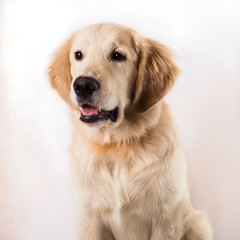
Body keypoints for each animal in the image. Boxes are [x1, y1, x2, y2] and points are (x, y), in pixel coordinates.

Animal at [47, 23, 212, 240]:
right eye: (78, 55)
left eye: (118, 55)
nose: (82, 85)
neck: (117, 145)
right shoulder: (90, 216)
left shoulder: (167, 217)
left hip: (198, 223)